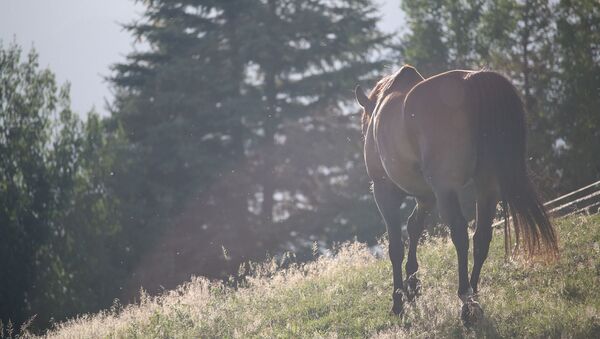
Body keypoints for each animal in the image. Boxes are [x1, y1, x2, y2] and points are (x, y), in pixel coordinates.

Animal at [354, 65, 560, 326]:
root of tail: (472, 81)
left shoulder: (385, 192)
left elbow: (396, 247)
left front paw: (399, 300)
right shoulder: (426, 196)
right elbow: (414, 227)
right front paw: (413, 287)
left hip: (447, 190)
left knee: (460, 235)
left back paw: (465, 300)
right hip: (486, 186)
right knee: (481, 236)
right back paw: (474, 295)